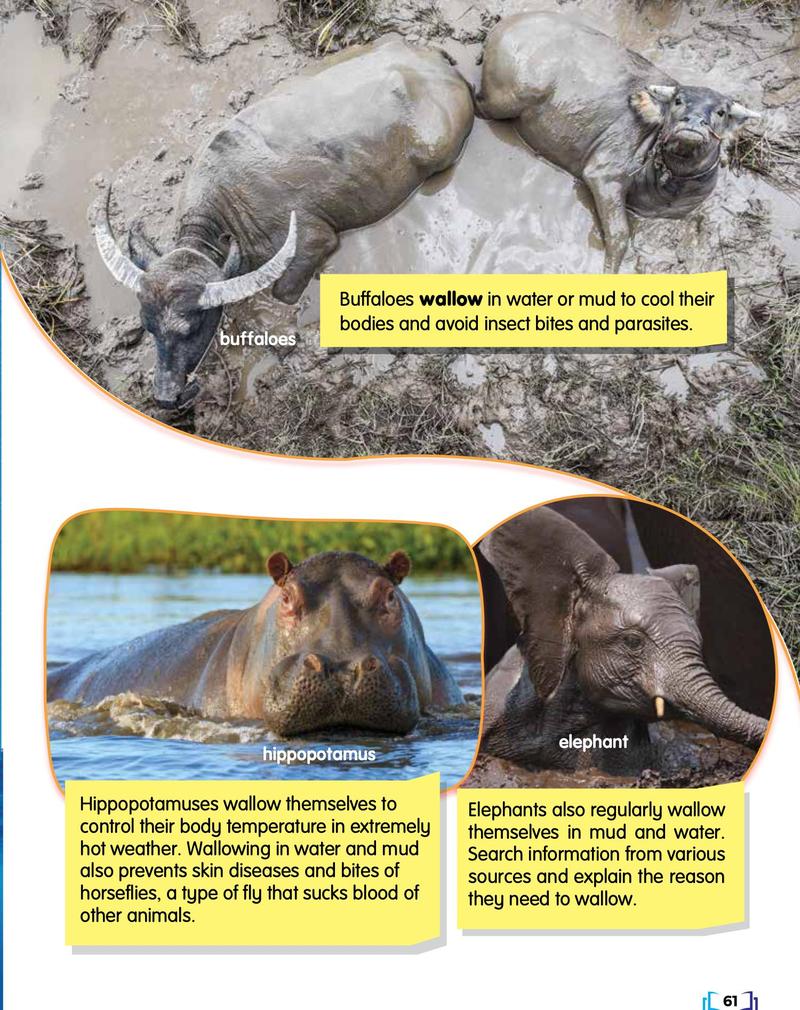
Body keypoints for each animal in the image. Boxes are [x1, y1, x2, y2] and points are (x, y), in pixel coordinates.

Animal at [94, 37, 474, 408]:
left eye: (190, 327)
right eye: (147, 326)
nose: (166, 395)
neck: (227, 203)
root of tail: (433, 62)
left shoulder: (314, 241)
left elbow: (282, 292)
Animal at [476, 13, 760, 271]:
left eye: (721, 112)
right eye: (679, 101)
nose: (692, 122)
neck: (667, 186)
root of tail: (506, 23)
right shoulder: (603, 174)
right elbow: (621, 234)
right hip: (512, 96)